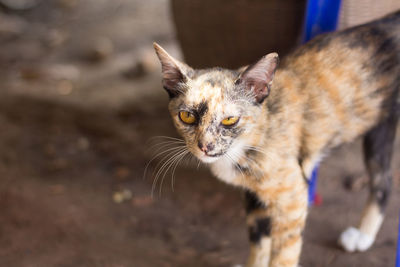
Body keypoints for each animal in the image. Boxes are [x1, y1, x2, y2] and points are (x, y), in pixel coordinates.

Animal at [152, 9, 398, 266]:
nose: (205, 146)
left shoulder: (293, 198)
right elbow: (258, 243)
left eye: (230, 120)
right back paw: (364, 235)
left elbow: (283, 255)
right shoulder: (254, 198)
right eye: (187, 116)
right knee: (384, 179)